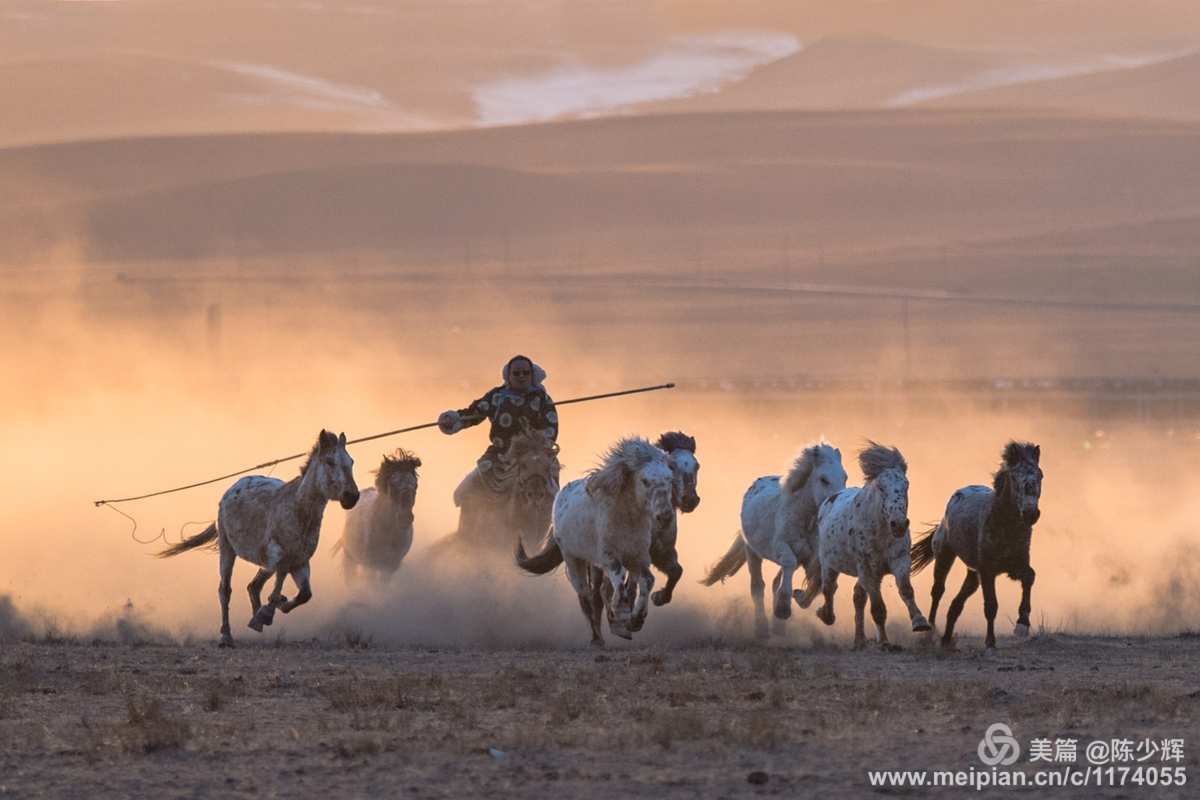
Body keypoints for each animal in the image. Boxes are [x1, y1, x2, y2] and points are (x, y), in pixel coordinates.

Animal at [157, 429, 357, 647]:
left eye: (351, 461)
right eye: (329, 461)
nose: (352, 496)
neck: (297, 510)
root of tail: (232, 489)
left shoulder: (300, 562)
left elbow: (304, 594)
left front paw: (275, 608)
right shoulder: (275, 557)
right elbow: (269, 584)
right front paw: (267, 611)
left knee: (257, 585)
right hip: (227, 550)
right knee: (225, 590)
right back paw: (227, 635)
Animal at [331, 450, 420, 587]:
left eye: (415, 486)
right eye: (392, 485)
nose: (405, 518)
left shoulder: (390, 567)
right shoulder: (371, 565)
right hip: (350, 557)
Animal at [516, 434, 676, 647]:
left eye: (669, 479)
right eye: (645, 481)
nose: (665, 516)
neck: (625, 518)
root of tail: (561, 495)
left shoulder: (638, 558)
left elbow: (646, 581)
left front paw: (636, 620)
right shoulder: (609, 557)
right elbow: (618, 580)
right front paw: (621, 616)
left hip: (594, 565)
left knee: (597, 594)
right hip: (574, 560)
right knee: (585, 598)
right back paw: (596, 638)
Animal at [700, 443, 849, 638]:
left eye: (845, 477)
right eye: (824, 479)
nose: (836, 501)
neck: (805, 520)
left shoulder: (813, 557)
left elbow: (818, 581)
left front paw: (802, 599)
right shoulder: (782, 547)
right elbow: (789, 563)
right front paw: (783, 608)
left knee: (774, 582)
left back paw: (778, 628)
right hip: (752, 552)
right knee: (758, 586)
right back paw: (762, 627)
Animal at [816, 441, 926, 652]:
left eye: (906, 485)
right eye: (881, 487)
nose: (899, 525)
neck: (880, 531)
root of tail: (830, 499)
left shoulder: (899, 561)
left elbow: (906, 590)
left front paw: (920, 622)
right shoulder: (867, 569)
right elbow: (878, 608)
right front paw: (885, 642)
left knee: (858, 597)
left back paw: (860, 640)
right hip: (830, 564)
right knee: (829, 588)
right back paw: (826, 615)